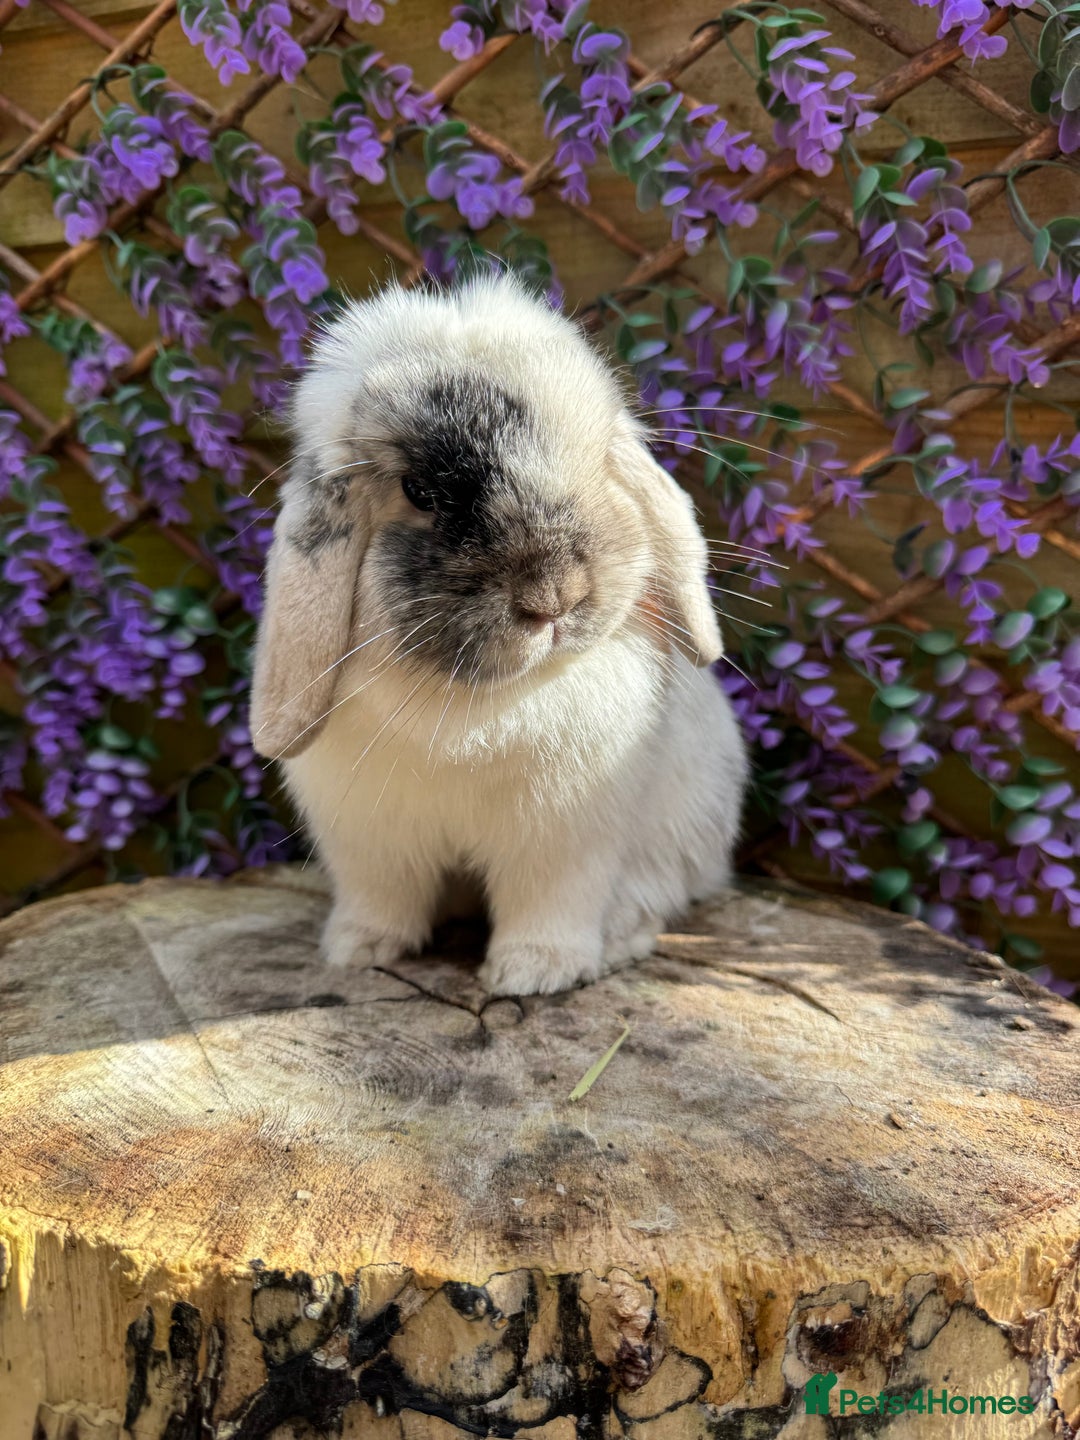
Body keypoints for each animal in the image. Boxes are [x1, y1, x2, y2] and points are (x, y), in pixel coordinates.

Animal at [250, 273, 748, 997]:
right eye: (420, 490)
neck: (481, 704)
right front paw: (359, 950)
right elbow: (382, 899)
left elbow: (549, 907)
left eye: (595, 458)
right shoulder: (373, 844)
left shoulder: (563, 846)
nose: (556, 596)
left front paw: (534, 974)